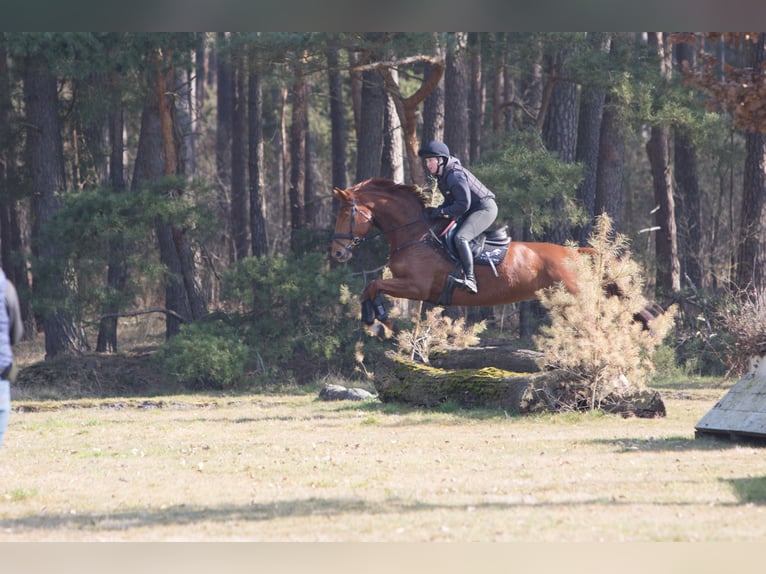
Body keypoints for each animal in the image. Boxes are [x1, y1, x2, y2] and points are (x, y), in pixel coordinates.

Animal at [330, 180, 600, 332]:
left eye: (344, 213)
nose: (337, 252)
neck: (415, 233)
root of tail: (575, 253)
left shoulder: (416, 287)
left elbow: (374, 284)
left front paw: (379, 319)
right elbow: (368, 288)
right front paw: (373, 320)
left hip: (571, 301)